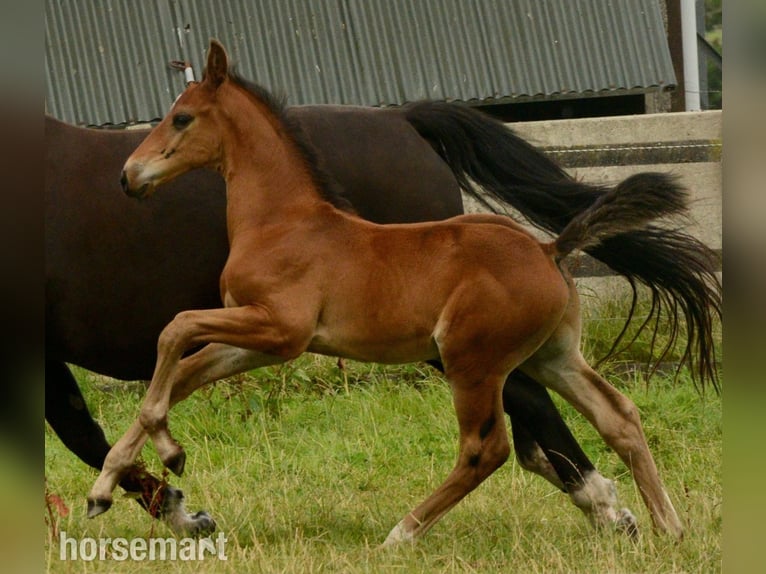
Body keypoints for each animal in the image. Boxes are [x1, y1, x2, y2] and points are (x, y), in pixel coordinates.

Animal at [87, 40, 719, 543]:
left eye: (182, 118)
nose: (127, 176)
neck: (282, 220)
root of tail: (548, 249)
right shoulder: (259, 338)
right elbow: (184, 373)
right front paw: (106, 485)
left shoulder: (281, 327)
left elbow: (176, 332)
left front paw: (169, 454)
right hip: (551, 356)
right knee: (620, 415)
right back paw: (668, 527)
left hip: (471, 361)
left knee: (485, 450)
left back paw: (402, 533)